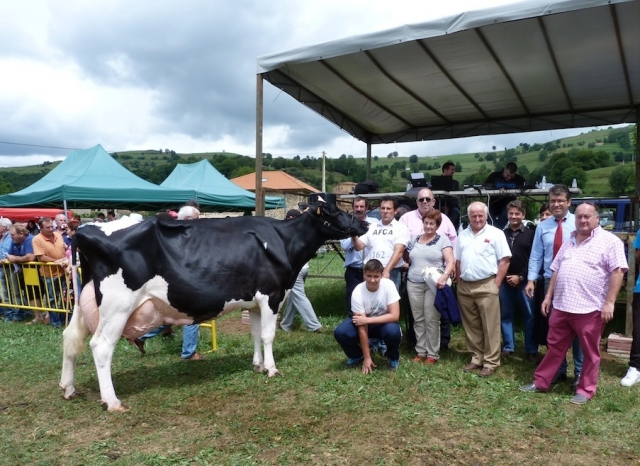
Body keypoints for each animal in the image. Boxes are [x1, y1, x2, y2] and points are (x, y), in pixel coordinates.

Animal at [60, 200, 370, 412]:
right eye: (334, 211)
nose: (365, 224)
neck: (282, 240)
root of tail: (84, 230)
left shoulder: (254, 301)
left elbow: (255, 334)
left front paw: (257, 365)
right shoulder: (271, 295)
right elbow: (268, 335)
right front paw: (271, 369)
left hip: (86, 301)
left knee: (70, 338)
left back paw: (68, 387)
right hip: (117, 306)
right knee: (101, 346)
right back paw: (112, 401)